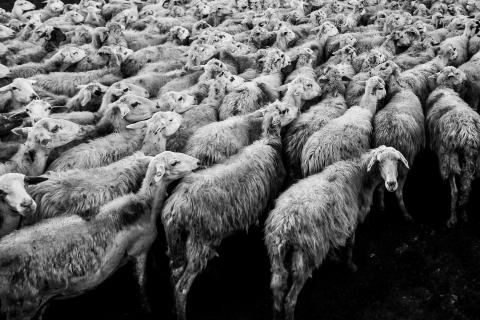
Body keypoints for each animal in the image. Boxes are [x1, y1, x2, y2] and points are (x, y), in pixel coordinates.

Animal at [0, 151, 200, 320]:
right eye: (174, 162)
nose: (198, 162)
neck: (144, 205)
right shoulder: (139, 251)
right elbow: (142, 285)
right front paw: (147, 309)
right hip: (23, 308)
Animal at [163, 110, 286, 320]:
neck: (268, 141)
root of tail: (174, 208)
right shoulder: (272, 195)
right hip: (200, 241)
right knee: (182, 287)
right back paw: (181, 312)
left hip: (176, 241)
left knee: (174, 272)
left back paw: (172, 307)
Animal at [266, 146, 408, 320]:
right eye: (380, 162)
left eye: (397, 160)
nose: (392, 184)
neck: (360, 177)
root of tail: (283, 225)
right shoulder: (351, 221)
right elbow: (350, 245)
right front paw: (350, 265)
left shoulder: (335, 226)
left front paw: (334, 257)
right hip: (306, 254)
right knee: (290, 300)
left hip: (276, 254)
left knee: (277, 290)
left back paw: (275, 313)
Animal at [428, 67, 480, 228]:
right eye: (456, 72)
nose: (466, 78)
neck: (444, 88)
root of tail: (467, 132)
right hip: (474, 159)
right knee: (466, 188)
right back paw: (463, 214)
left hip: (448, 156)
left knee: (455, 191)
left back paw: (452, 219)